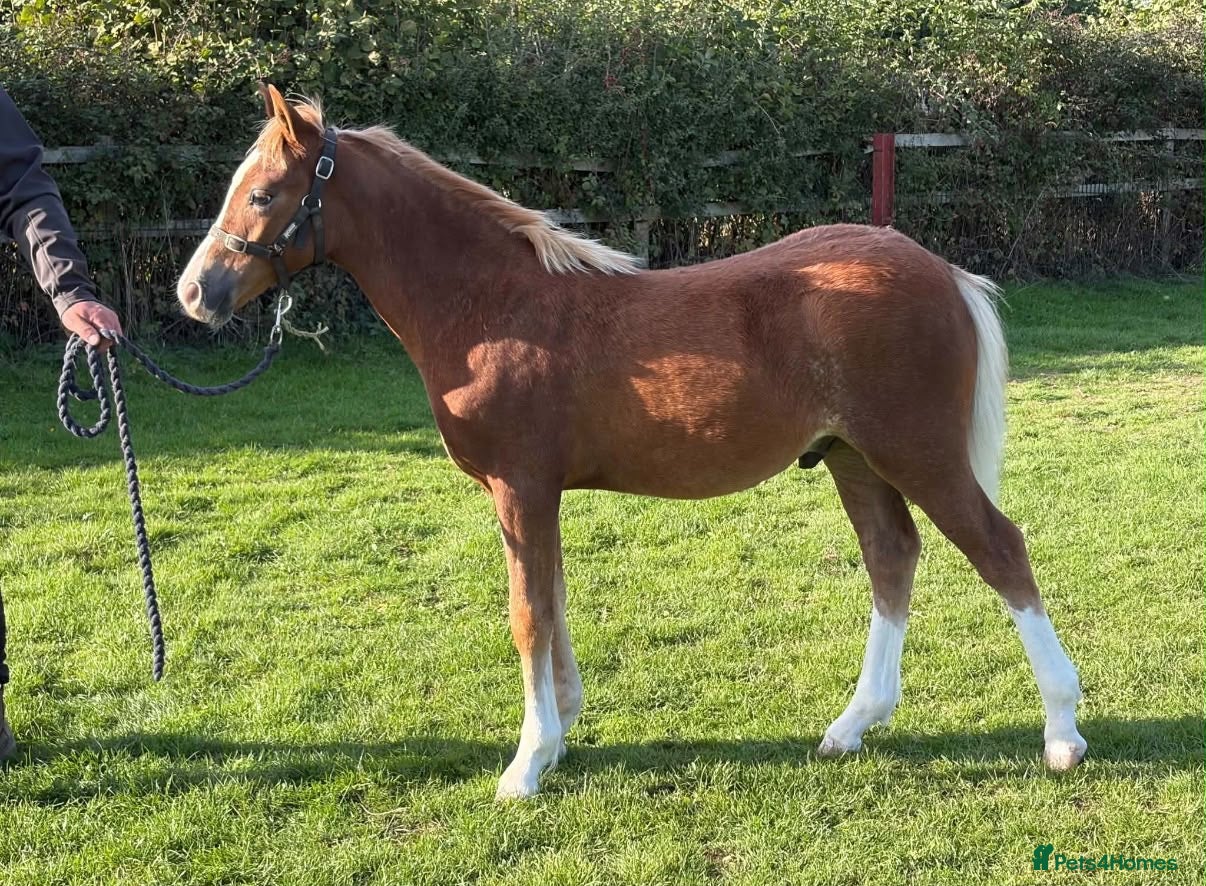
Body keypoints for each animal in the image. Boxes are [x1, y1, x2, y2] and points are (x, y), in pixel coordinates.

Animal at [176, 83, 1086, 799]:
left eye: (265, 194)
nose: (195, 292)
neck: (491, 307)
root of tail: (943, 271)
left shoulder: (520, 487)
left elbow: (528, 614)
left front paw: (525, 765)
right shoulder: (535, 494)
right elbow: (552, 601)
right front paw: (559, 734)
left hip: (918, 452)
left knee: (1001, 550)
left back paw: (1062, 734)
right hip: (854, 460)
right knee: (892, 558)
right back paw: (851, 725)